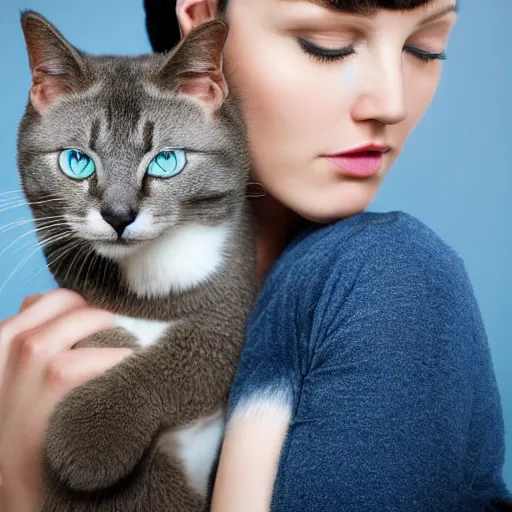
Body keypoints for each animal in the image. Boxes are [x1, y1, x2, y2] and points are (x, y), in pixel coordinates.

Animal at [17, 9, 256, 512]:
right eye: (77, 161)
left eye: (166, 161)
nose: (119, 215)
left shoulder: (236, 294)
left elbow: (190, 354)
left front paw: (87, 438)